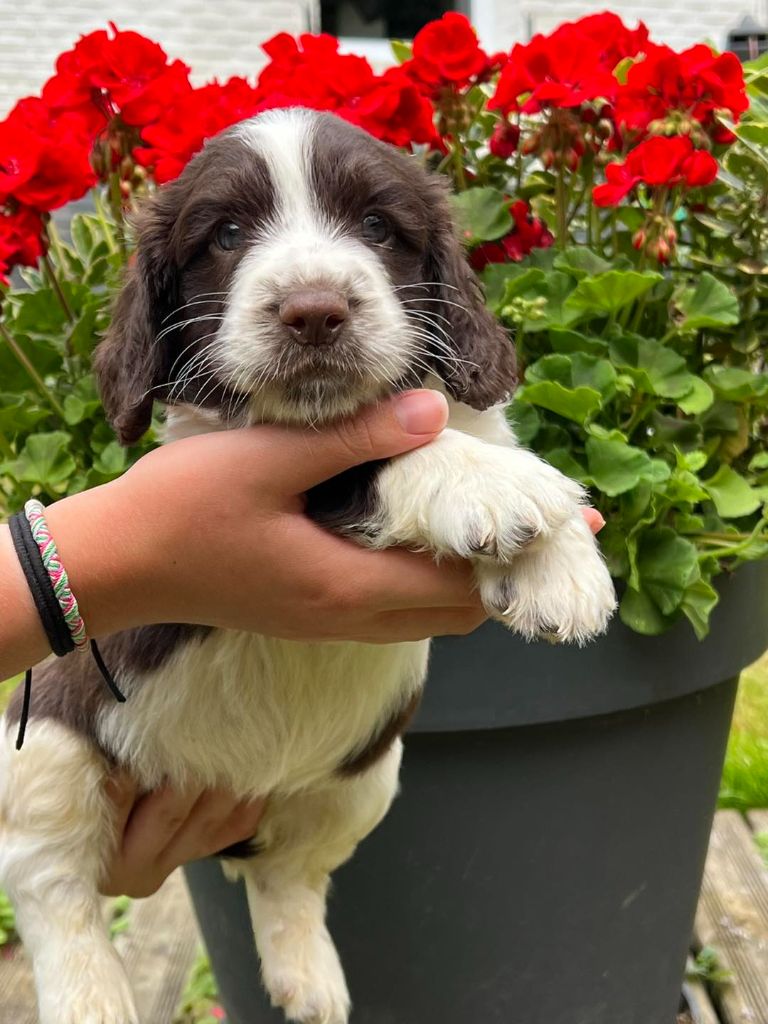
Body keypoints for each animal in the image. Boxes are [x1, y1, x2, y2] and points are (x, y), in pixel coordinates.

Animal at [0, 108, 616, 1024]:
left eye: (378, 227)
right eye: (224, 235)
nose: (314, 312)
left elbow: (481, 433)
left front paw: (561, 569)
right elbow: (378, 459)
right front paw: (497, 489)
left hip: (363, 776)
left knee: (286, 872)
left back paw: (308, 978)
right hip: (48, 742)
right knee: (52, 883)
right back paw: (91, 999)